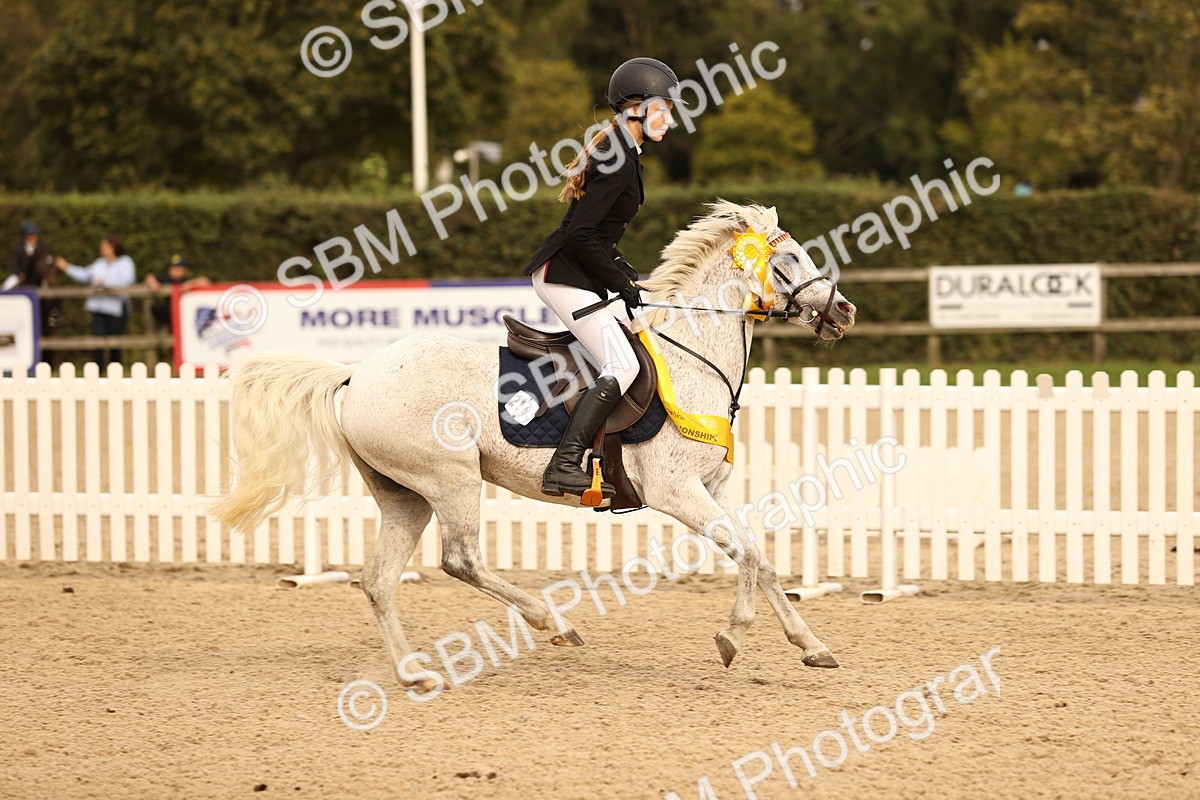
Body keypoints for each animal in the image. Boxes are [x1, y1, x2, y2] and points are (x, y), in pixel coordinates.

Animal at [211, 200, 857, 691]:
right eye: (788, 260)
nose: (845, 310)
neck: (692, 355)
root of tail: (355, 376)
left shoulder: (710, 489)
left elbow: (760, 557)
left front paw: (811, 645)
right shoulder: (675, 491)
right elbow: (746, 555)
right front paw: (732, 636)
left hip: (404, 494)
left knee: (378, 581)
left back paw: (415, 673)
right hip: (450, 478)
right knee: (460, 560)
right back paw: (552, 623)